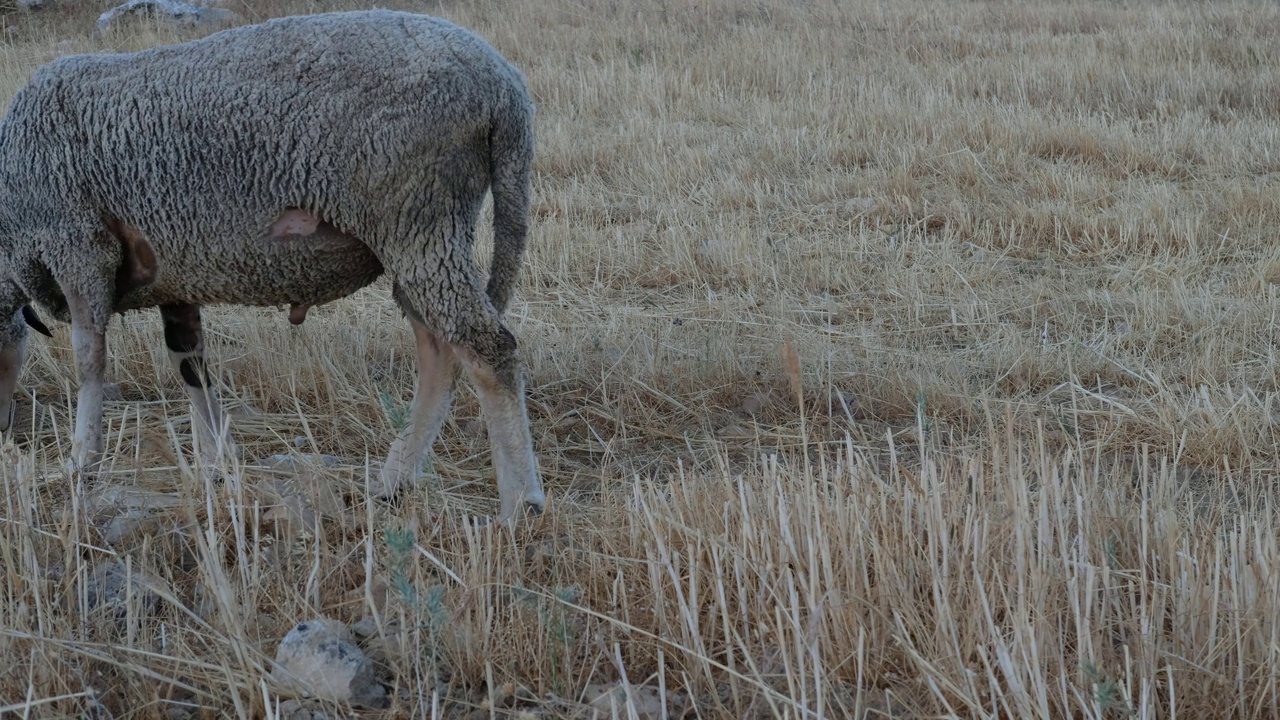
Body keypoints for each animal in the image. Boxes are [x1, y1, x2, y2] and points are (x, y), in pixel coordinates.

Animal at [0, 7, 545, 520]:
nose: (5, 433)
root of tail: (505, 86)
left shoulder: (78, 245)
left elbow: (89, 359)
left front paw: (80, 461)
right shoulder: (175, 281)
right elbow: (190, 365)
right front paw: (217, 464)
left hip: (419, 217)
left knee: (488, 349)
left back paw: (520, 505)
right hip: (420, 236)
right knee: (439, 351)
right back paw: (397, 481)